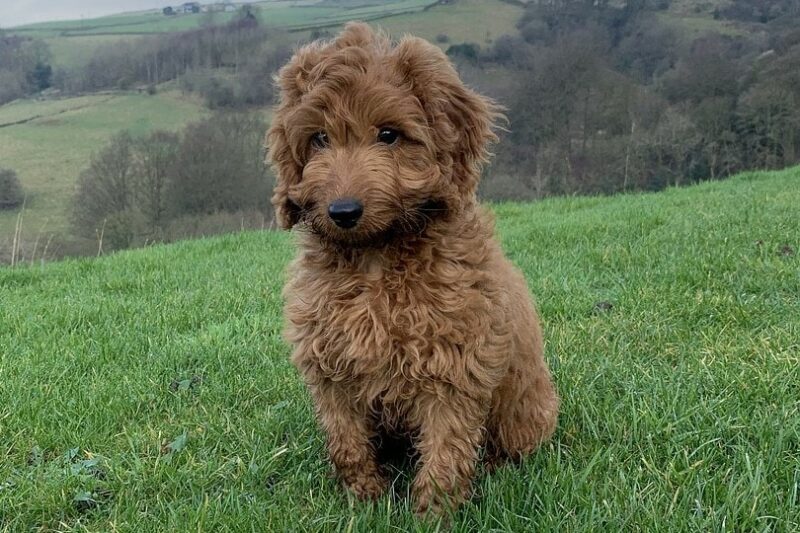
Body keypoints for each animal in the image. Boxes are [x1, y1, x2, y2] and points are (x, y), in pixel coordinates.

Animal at [266, 21, 560, 516]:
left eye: (389, 134)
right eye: (319, 138)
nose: (343, 211)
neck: (375, 258)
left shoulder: (452, 369)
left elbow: (445, 452)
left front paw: (433, 515)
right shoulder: (330, 367)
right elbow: (346, 442)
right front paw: (364, 499)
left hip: (527, 411)